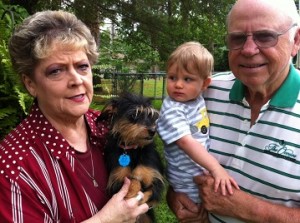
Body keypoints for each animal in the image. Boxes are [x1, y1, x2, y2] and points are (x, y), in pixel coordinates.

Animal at [98, 93, 164, 223]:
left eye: (151, 116)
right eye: (134, 115)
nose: (153, 131)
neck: (133, 149)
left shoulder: (155, 180)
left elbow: (145, 184)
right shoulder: (116, 180)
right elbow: (133, 181)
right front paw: (132, 194)